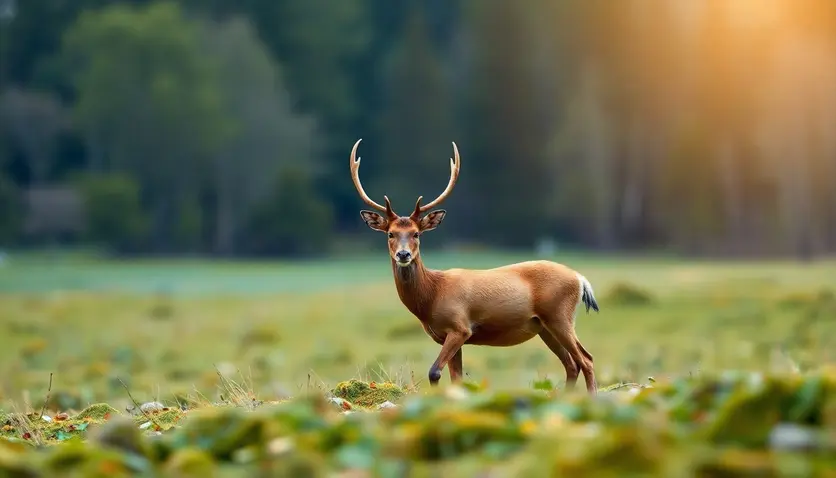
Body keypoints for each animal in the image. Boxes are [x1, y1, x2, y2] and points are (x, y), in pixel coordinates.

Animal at [348, 140, 600, 394]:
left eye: (416, 233)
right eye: (390, 233)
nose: (403, 254)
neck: (431, 296)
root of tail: (580, 278)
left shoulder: (460, 327)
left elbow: (434, 372)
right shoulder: (447, 336)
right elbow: (456, 378)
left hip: (560, 316)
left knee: (586, 359)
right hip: (544, 327)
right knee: (572, 364)